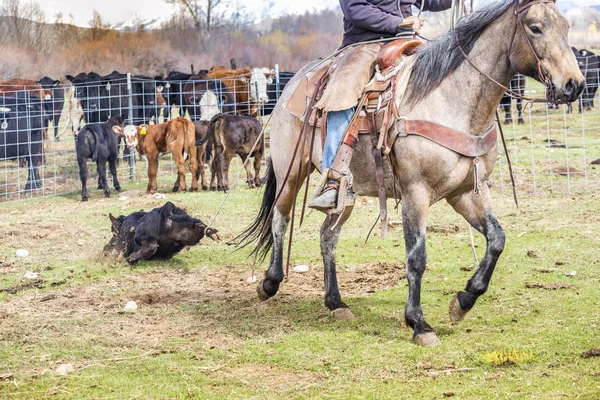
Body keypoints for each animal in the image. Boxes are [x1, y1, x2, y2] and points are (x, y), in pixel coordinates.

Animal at [238, 0, 580, 346]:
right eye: (535, 28)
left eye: (566, 27)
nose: (574, 85)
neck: (451, 102)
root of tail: (293, 84)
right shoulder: (416, 193)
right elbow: (416, 258)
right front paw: (419, 323)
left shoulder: (468, 192)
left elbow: (497, 240)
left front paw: (463, 301)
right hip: (290, 171)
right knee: (280, 218)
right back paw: (270, 283)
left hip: (346, 193)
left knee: (327, 236)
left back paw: (336, 303)